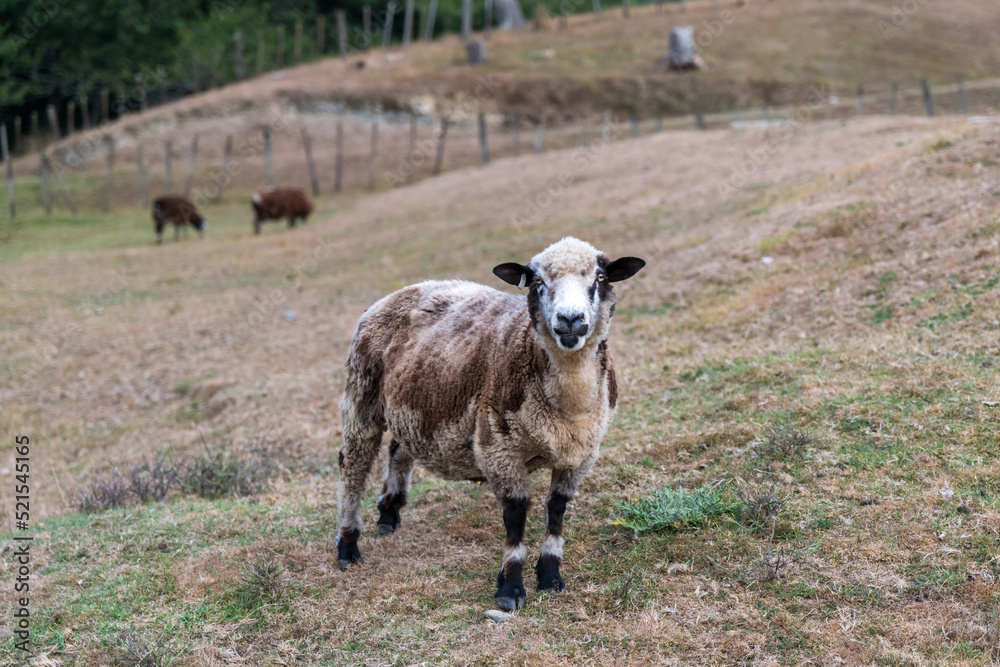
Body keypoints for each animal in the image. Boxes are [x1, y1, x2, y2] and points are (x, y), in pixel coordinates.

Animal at [336, 237, 645, 611]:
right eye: (538, 282)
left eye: (600, 278)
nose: (570, 319)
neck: (567, 406)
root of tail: (404, 290)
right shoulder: (499, 448)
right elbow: (516, 514)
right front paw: (510, 589)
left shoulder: (582, 453)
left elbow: (556, 509)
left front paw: (550, 577)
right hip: (361, 390)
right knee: (353, 465)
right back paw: (347, 545)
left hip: (413, 404)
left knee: (399, 448)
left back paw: (388, 514)